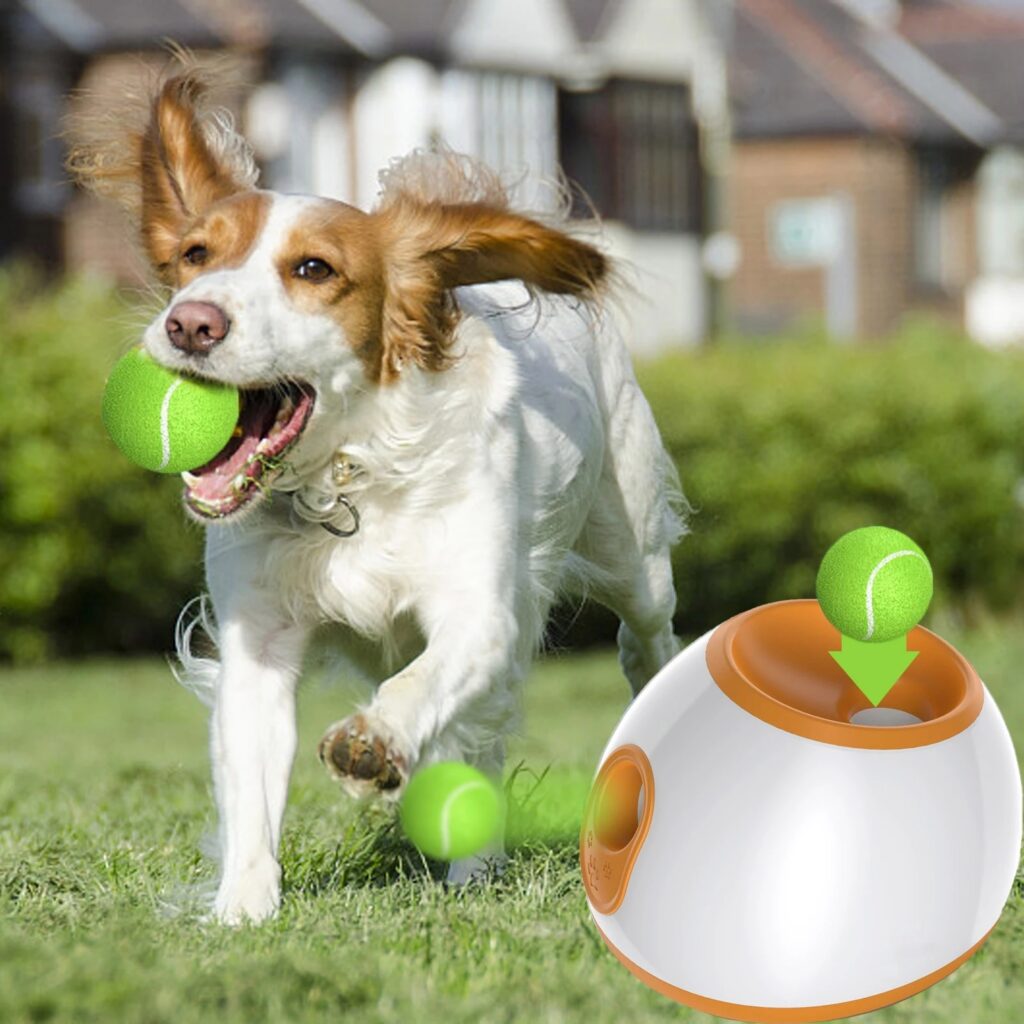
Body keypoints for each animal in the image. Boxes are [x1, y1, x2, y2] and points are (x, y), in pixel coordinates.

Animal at [68, 66, 684, 929]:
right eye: (195, 254)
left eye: (314, 270)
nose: (190, 322)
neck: (345, 480)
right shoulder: (258, 642)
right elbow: (254, 787)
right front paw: (242, 910)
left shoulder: (480, 614)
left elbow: (419, 683)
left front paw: (373, 741)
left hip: (634, 553)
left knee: (644, 639)